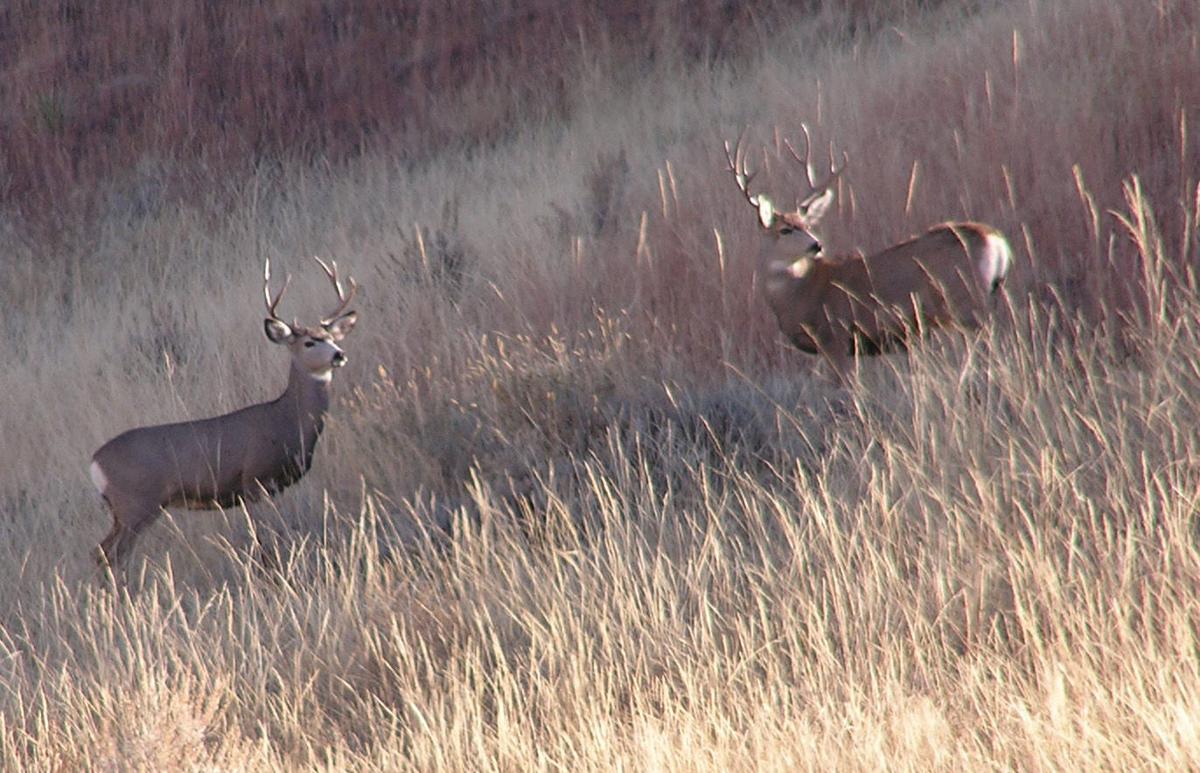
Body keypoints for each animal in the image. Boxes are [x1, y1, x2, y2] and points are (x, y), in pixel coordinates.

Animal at [89, 256, 359, 574]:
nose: (339, 355)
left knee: (100, 552)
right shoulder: (254, 481)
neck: (286, 420)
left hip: (123, 511)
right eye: (309, 342)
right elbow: (261, 540)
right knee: (112, 554)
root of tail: (95, 463)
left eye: (331, 337)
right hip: (137, 503)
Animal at [724, 127, 1012, 382]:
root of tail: (997, 242)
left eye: (807, 225)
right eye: (785, 229)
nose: (817, 245)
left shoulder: (836, 337)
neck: (801, 293)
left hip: (967, 305)